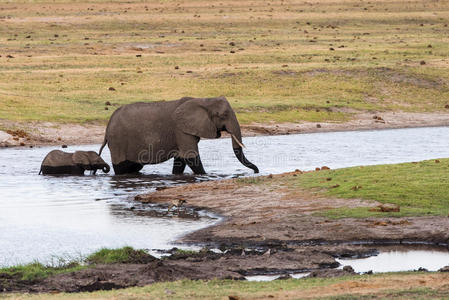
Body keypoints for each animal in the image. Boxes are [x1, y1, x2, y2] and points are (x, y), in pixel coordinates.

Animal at [99, 96, 258, 176]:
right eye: (223, 115)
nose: (256, 171)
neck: (203, 100)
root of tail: (107, 127)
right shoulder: (181, 130)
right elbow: (191, 157)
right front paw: (206, 176)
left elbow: (181, 159)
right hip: (118, 141)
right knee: (122, 168)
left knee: (134, 166)